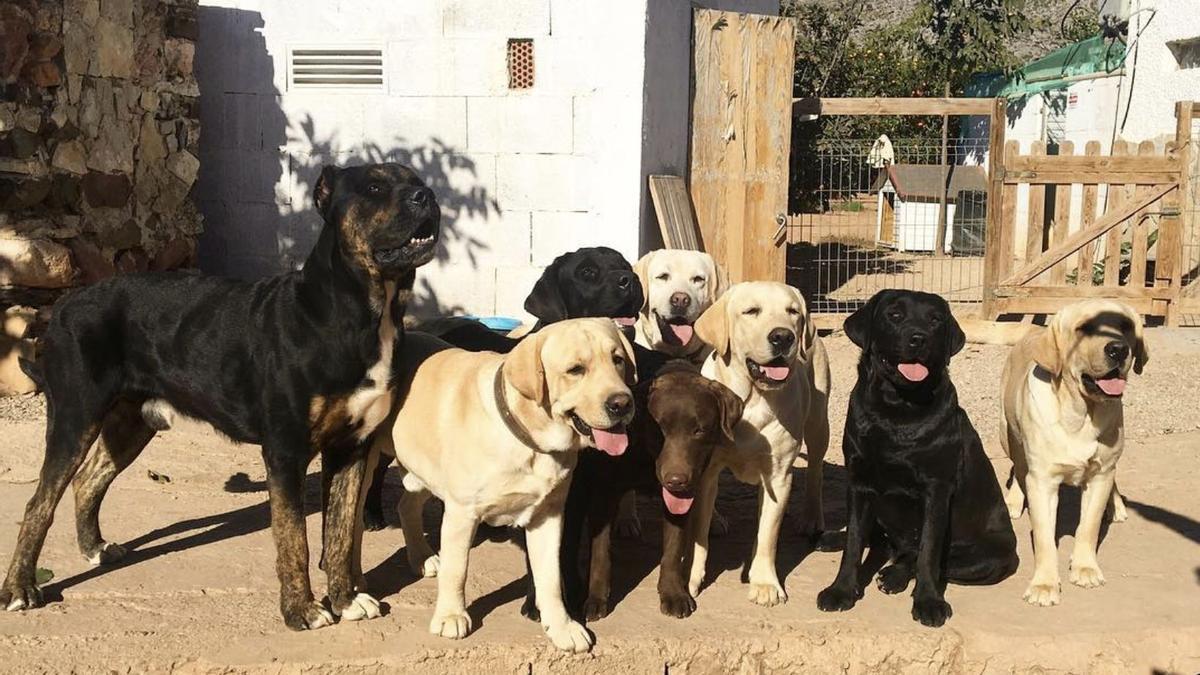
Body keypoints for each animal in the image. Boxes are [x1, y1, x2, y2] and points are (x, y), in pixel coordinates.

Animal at [0, 165, 441, 629]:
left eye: (416, 179)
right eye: (373, 187)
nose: (426, 195)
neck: (354, 310)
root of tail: (65, 305)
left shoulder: (351, 448)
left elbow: (339, 532)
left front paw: (345, 599)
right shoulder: (285, 451)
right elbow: (295, 537)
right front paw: (301, 609)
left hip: (130, 423)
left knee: (88, 480)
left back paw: (95, 548)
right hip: (75, 417)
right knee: (38, 503)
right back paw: (21, 588)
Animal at [384, 317, 638, 648]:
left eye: (617, 359)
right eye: (575, 370)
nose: (622, 404)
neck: (530, 439)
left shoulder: (549, 515)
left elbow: (550, 578)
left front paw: (561, 626)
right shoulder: (461, 511)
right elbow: (457, 569)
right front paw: (451, 616)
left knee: (406, 505)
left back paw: (421, 556)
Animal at [686, 278, 835, 605]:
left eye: (792, 312)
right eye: (751, 311)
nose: (783, 336)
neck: (751, 399)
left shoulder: (778, 474)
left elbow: (768, 535)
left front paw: (765, 582)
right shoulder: (707, 469)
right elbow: (697, 532)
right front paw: (690, 577)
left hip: (819, 423)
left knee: (815, 471)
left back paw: (811, 517)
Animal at [811, 288, 1017, 624]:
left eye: (935, 320)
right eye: (894, 315)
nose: (918, 338)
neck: (897, 411)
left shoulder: (936, 490)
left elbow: (928, 552)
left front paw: (928, 602)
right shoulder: (859, 483)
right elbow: (854, 541)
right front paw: (841, 590)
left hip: (991, 559)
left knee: (921, 557)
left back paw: (894, 575)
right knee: (880, 540)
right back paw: (832, 539)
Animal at [998, 297, 1147, 605]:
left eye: (1126, 326)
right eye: (1084, 328)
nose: (1118, 349)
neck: (1082, 416)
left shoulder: (1100, 475)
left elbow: (1088, 526)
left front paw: (1085, 568)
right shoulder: (1043, 482)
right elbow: (1045, 537)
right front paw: (1044, 584)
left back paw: (1116, 505)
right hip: (1006, 432)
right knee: (1018, 466)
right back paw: (1014, 500)